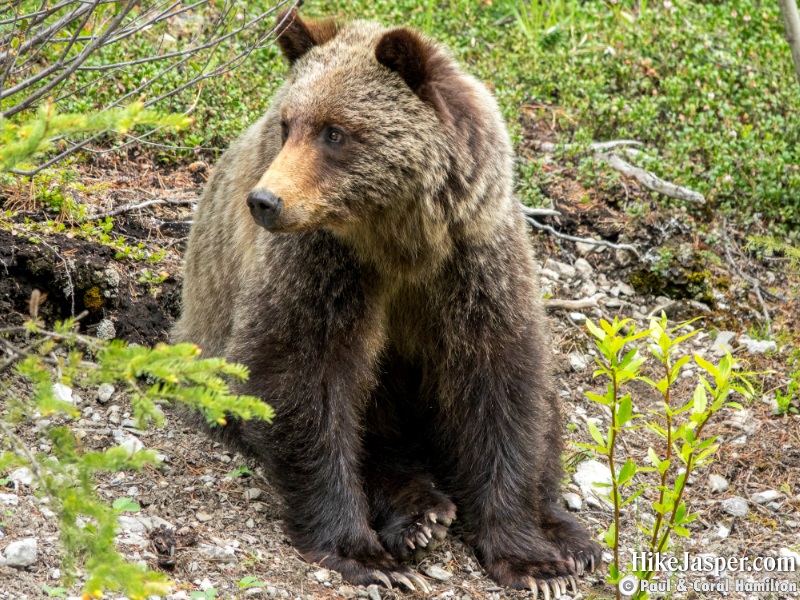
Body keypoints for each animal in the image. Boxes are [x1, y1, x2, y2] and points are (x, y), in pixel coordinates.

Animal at [173, 7, 600, 596]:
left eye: (335, 132)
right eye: (287, 124)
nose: (265, 201)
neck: (400, 240)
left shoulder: (475, 258)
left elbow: (501, 387)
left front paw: (534, 559)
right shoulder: (326, 266)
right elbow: (302, 376)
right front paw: (364, 552)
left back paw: (570, 536)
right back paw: (420, 513)